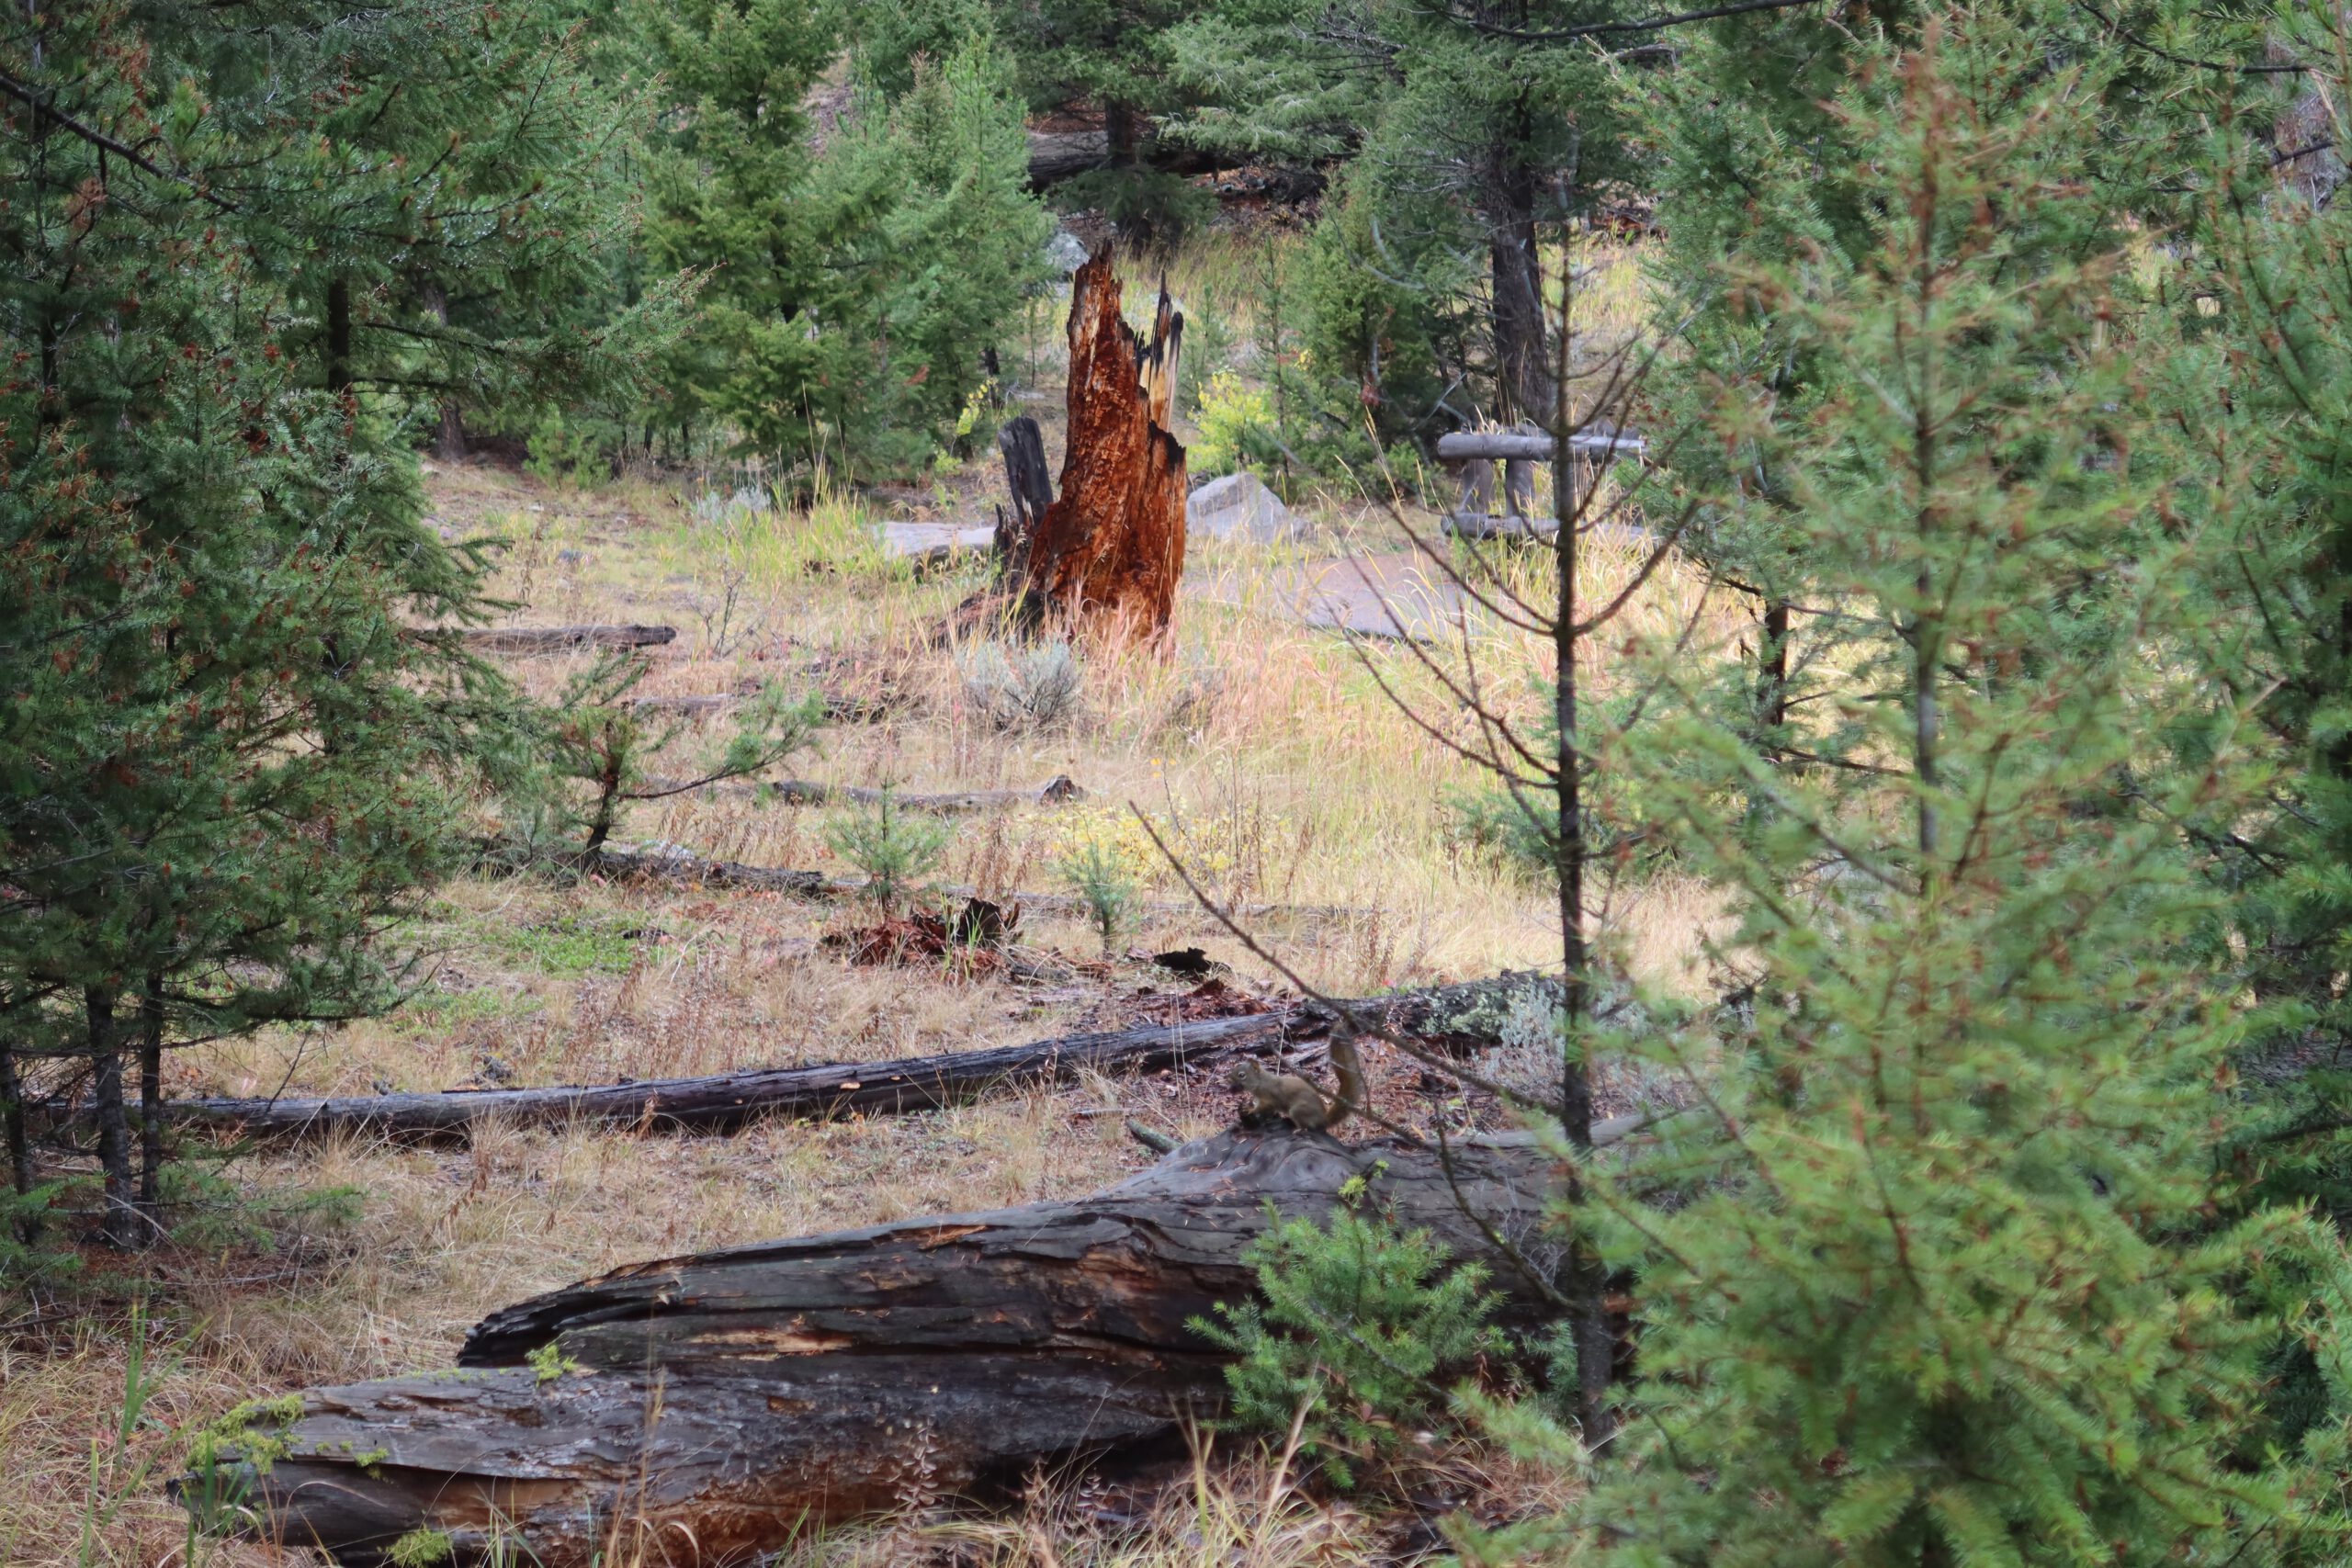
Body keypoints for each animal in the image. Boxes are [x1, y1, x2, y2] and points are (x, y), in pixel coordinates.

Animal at [1229, 1035, 1367, 1133]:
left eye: (1241, 1075)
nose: (1227, 1077)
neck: (1260, 1082)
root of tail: (1323, 1120)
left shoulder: (1269, 1096)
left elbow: (1265, 1107)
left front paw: (1250, 1110)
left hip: (1298, 1110)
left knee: (1307, 1127)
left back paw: (1298, 1129)